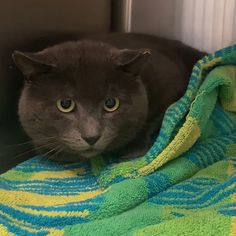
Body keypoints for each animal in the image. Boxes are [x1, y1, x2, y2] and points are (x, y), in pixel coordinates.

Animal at [12, 33, 205, 161]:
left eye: (111, 103)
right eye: (65, 104)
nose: (91, 137)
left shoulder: (174, 87)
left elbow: (157, 118)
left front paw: (132, 149)